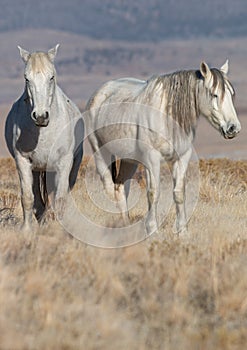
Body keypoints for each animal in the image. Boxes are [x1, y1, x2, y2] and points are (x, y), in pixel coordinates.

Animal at [4, 45, 83, 232]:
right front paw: (26, 230)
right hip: (37, 169)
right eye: (26, 78)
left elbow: (60, 200)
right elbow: (28, 197)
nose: (40, 116)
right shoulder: (23, 161)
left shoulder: (64, 163)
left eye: (51, 76)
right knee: (39, 202)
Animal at [86, 60, 241, 235]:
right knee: (109, 188)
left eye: (231, 94)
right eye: (214, 94)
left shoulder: (181, 158)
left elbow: (179, 193)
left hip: (129, 159)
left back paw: (125, 225)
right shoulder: (151, 159)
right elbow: (154, 193)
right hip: (100, 153)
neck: (168, 116)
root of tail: (99, 93)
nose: (233, 128)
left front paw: (182, 231)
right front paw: (153, 230)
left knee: (120, 187)